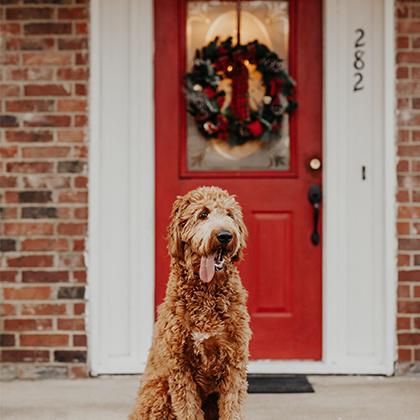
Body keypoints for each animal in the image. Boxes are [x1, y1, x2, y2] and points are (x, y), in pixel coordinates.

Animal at [130, 187, 249, 420]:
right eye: (203, 214)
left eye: (229, 214)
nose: (225, 235)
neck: (206, 293)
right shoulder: (180, 367)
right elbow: (188, 409)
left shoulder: (234, 362)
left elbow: (232, 408)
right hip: (158, 393)